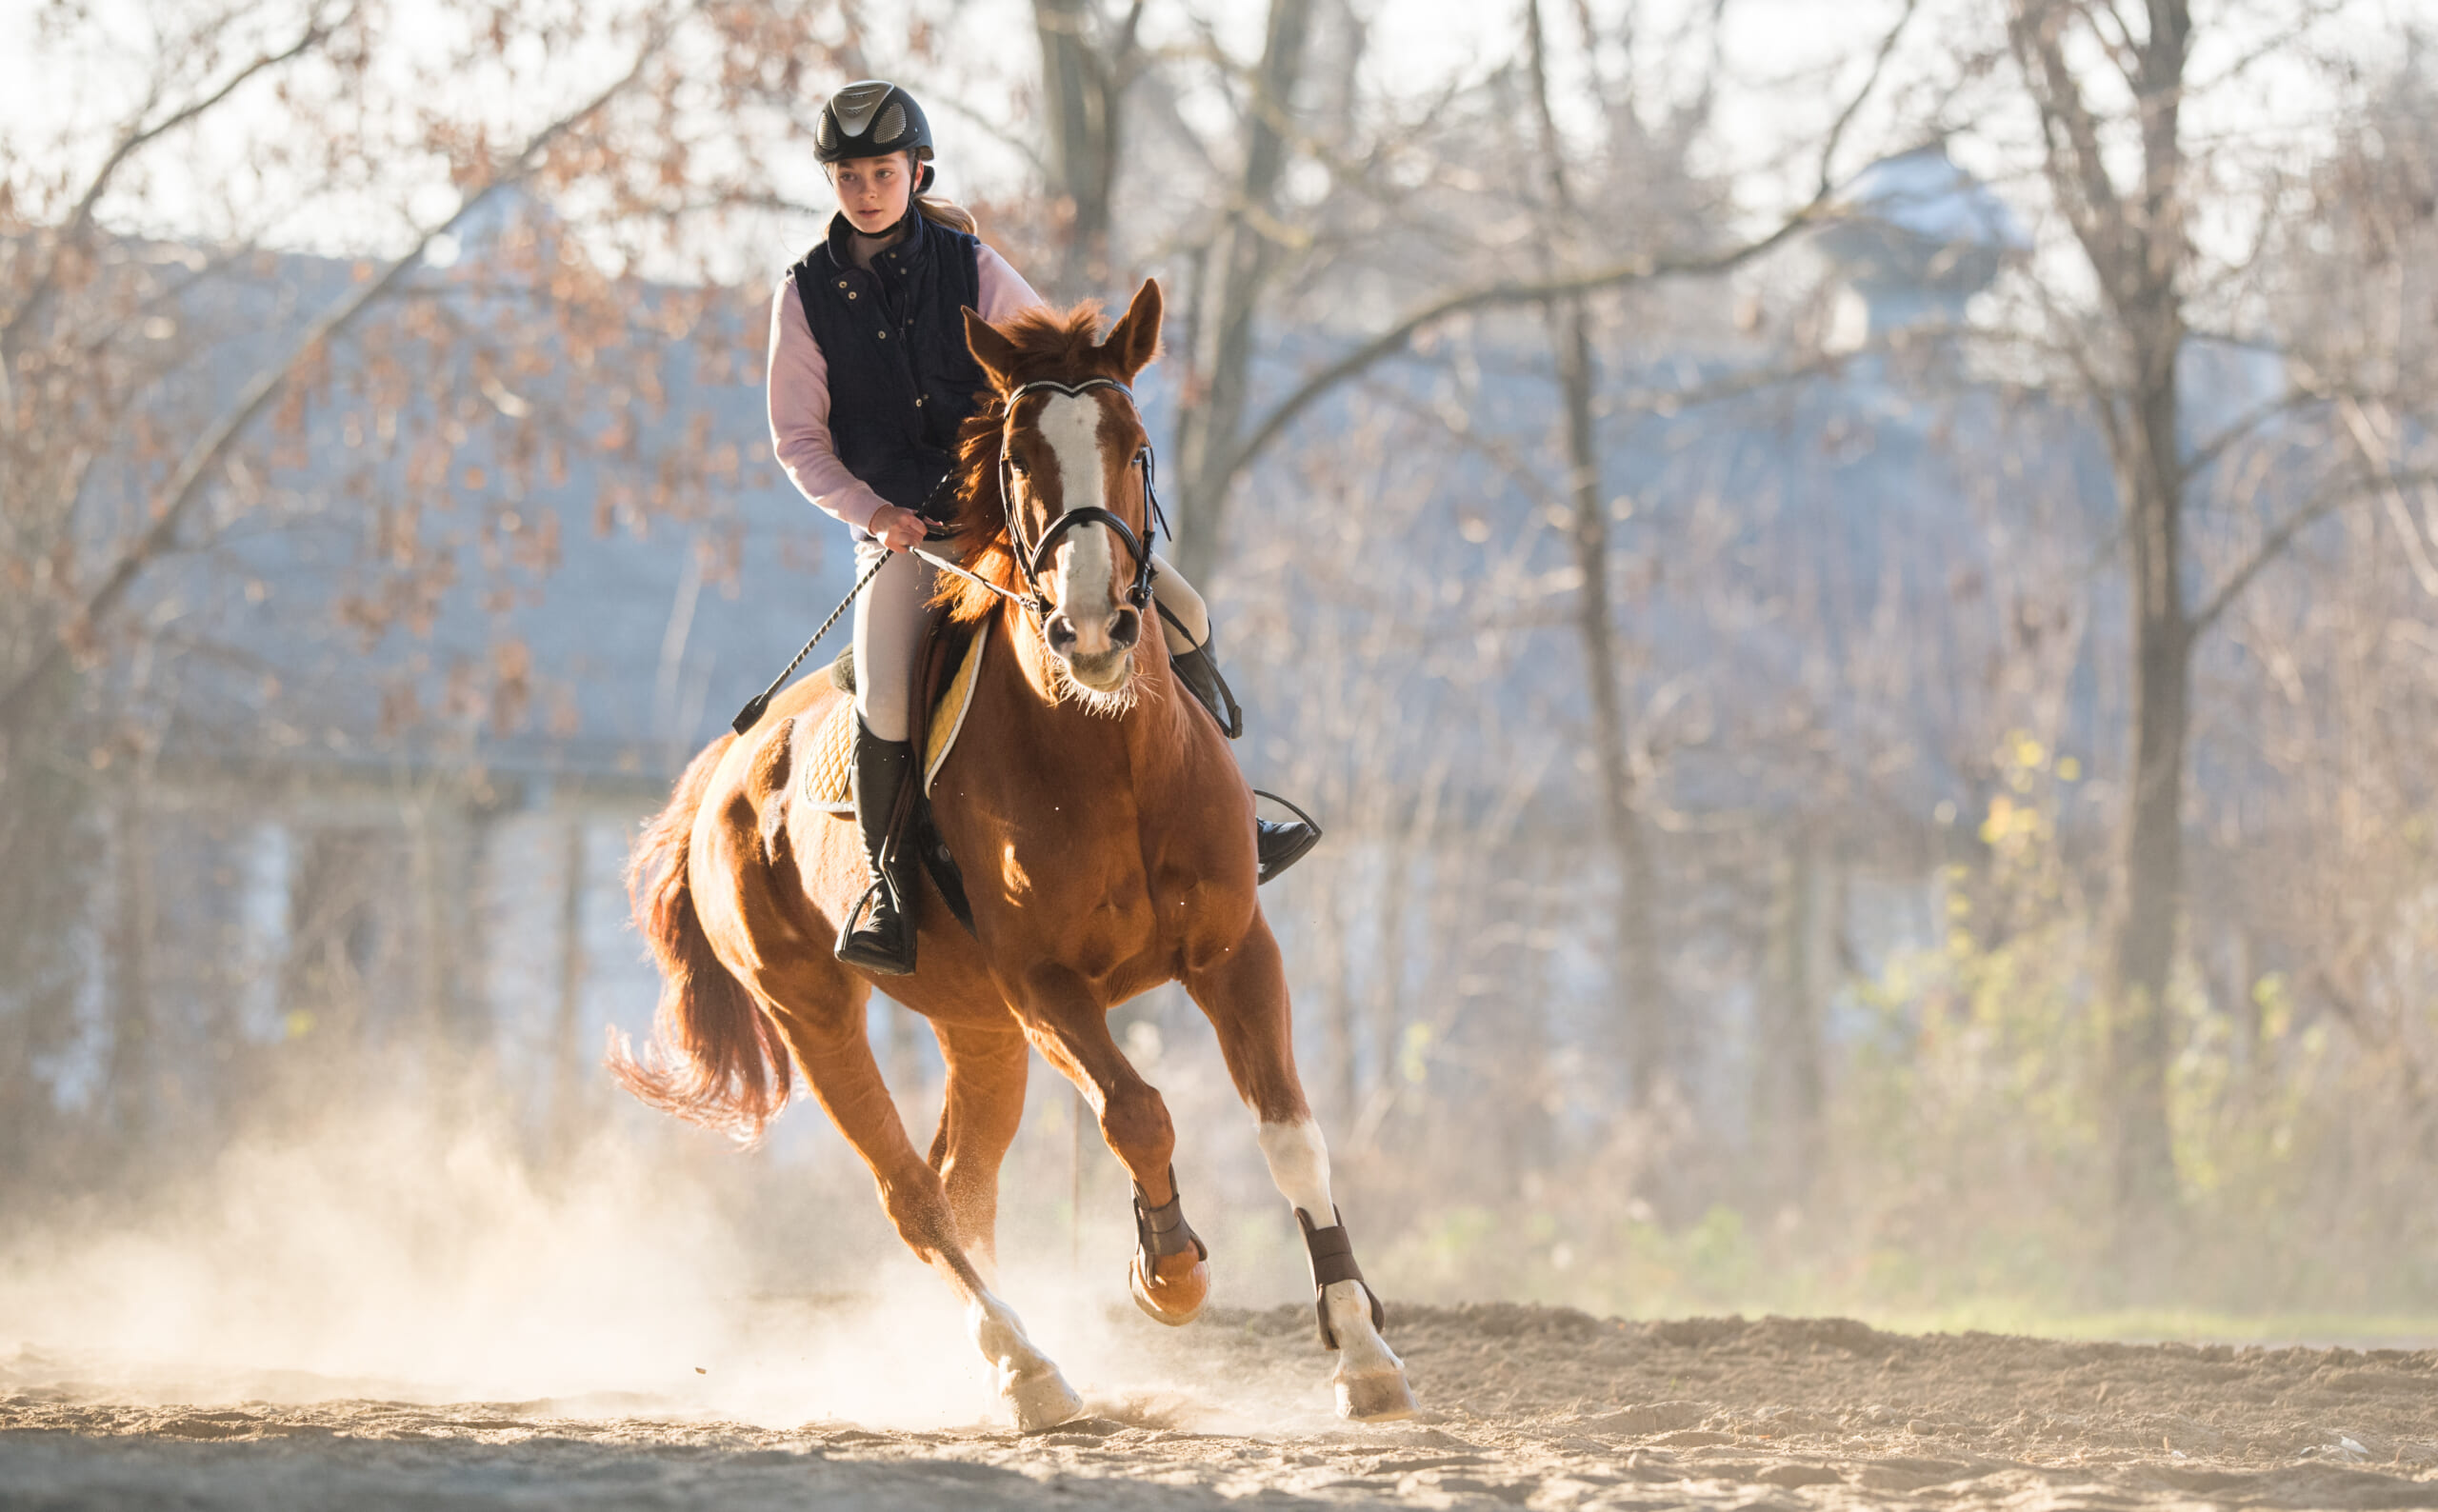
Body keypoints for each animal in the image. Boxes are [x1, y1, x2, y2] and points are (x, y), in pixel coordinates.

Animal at [610, 280, 1424, 1434]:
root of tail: (722, 771)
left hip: (977, 1028)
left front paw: (1361, 1351)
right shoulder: (1046, 985)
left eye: (1134, 445)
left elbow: (1289, 1133)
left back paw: (1013, 1357)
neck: (1106, 747)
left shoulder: (1233, 953)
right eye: (1016, 457)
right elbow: (1136, 1111)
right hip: (815, 1013)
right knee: (911, 1195)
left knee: (961, 1182)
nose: (1091, 630)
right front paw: (1167, 1272)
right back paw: (1030, 1369)